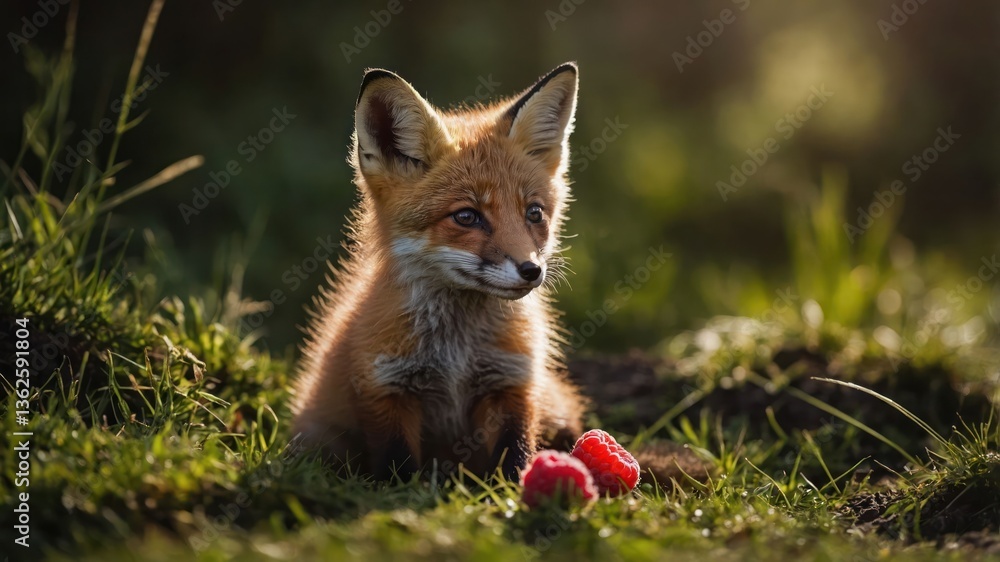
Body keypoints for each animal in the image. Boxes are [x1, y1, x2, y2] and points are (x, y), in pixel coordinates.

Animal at [291, 62, 586, 482]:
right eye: (466, 216)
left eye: (534, 213)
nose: (532, 270)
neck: (456, 354)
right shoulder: (385, 387)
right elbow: (397, 465)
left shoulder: (512, 383)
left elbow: (515, 456)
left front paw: (516, 488)